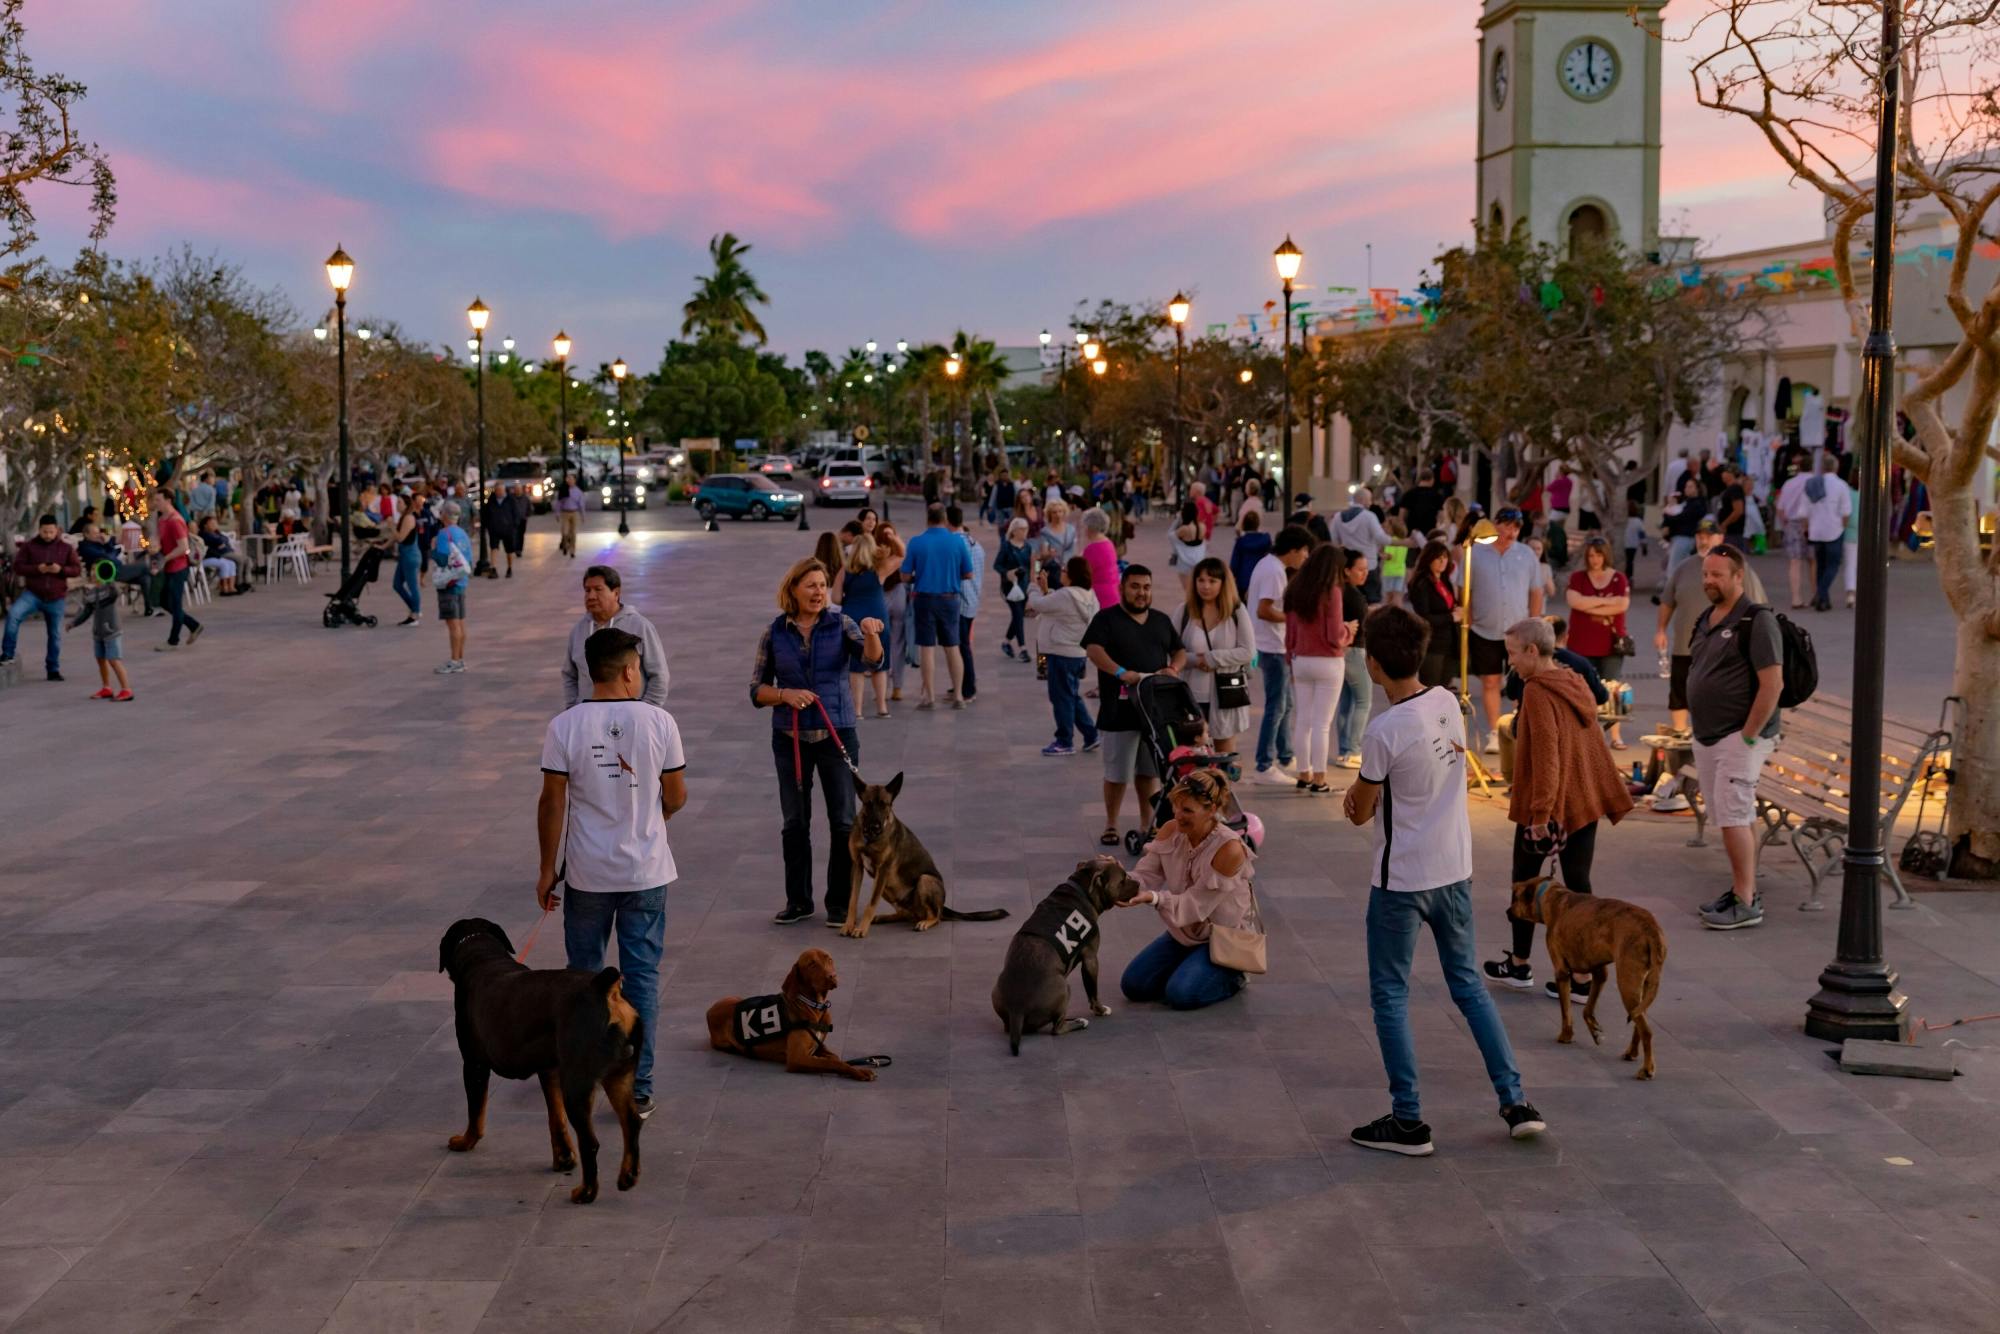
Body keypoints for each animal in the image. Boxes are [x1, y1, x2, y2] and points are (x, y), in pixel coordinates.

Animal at [440, 924, 648, 1208]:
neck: (482, 956)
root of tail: (605, 990)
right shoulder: (549, 1070)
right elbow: (555, 1118)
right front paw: (563, 1158)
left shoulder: (474, 1064)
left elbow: (476, 1111)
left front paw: (466, 1140)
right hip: (620, 1075)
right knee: (631, 1122)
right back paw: (628, 1175)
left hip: (577, 1084)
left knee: (590, 1142)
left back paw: (586, 1192)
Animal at [712, 948, 884, 1088]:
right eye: (812, 964)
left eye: (829, 959)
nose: (832, 976)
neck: (814, 1006)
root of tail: (710, 1010)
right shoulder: (798, 1057)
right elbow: (832, 1062)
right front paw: (860, 1072)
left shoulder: (820, 1047)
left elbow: (835, 1059)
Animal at [840, 772, 1008, 940]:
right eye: (868, 804)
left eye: (884, 804)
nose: (875, 827)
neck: (869, 839)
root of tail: (942, 906)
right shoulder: (857, 867)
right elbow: (852, 900)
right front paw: (849, 925)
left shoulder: (883, 870)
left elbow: (871, 904)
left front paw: (861, 928)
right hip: (888, 889)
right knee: (905, 914)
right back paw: (885, 917)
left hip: (924, 880)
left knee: (936, 917)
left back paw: (925, 922)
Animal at [996, 860, 1152, 1056]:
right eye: (1123, 880)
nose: (1138, 883)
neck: (1082, 890)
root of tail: (1016, 1008)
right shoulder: (1091, 959)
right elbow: (1093, 991)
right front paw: (1100, 1010)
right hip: (1064, 988)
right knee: (1057, 1028)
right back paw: (1079, 1022)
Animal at [1504, 876, 1664, 1088]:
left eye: (1515, 898)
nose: (1507, 912)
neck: (1552, 896)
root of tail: (1651, 927)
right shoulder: (1599, 972)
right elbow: (1587, 1009)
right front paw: (1594, 1029)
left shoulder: (1562, 972)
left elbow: (1566, 1011)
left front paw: (1566, 1035)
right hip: (1645, 985)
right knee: (1639, 1019)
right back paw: (1631, 1052)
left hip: (1627, 982)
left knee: (1646, 1030)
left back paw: (1647, 1069)